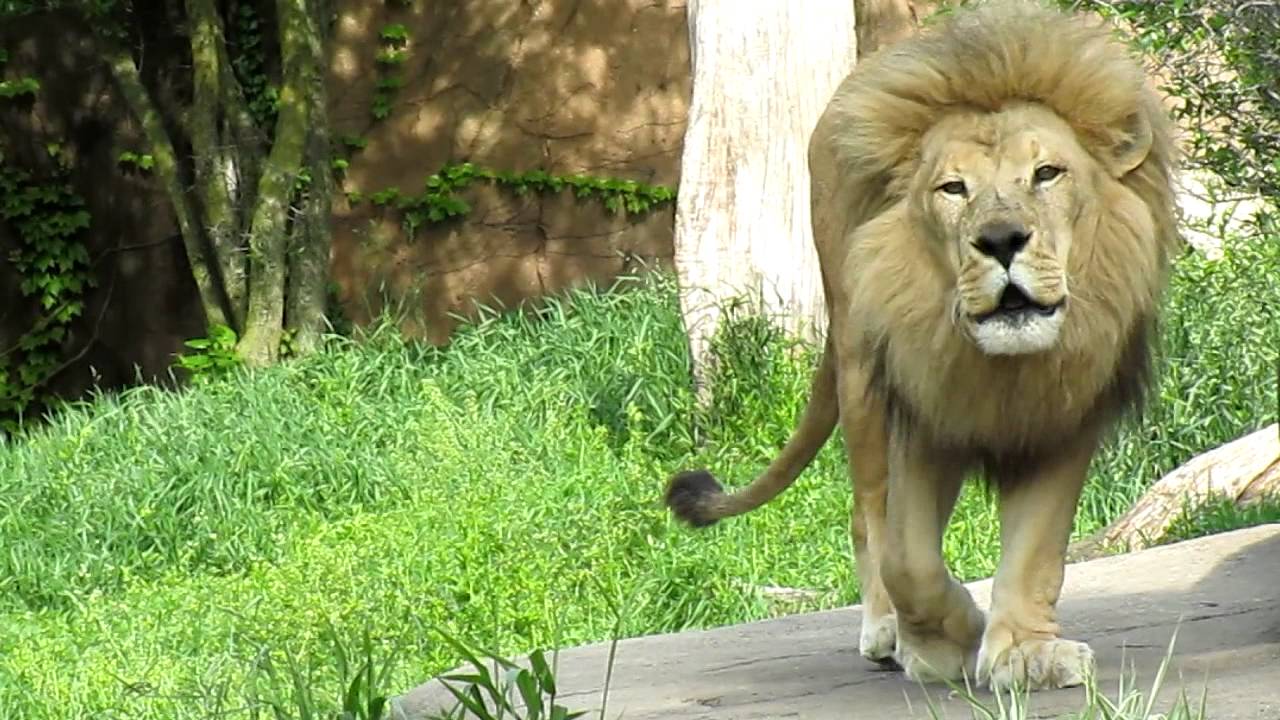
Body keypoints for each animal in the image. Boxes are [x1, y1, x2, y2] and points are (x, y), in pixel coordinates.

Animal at [664, 0, 1180, 692]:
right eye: (953, 188)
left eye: (1047, 174)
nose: (1001, 239)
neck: (1003, 369)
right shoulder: (918, 405)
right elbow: (907, 558)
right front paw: (947, 640)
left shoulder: (1064, 418)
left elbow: (1038, 549)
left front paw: (1026, 652)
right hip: (858, 367)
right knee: (868, 514)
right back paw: (886, 631)